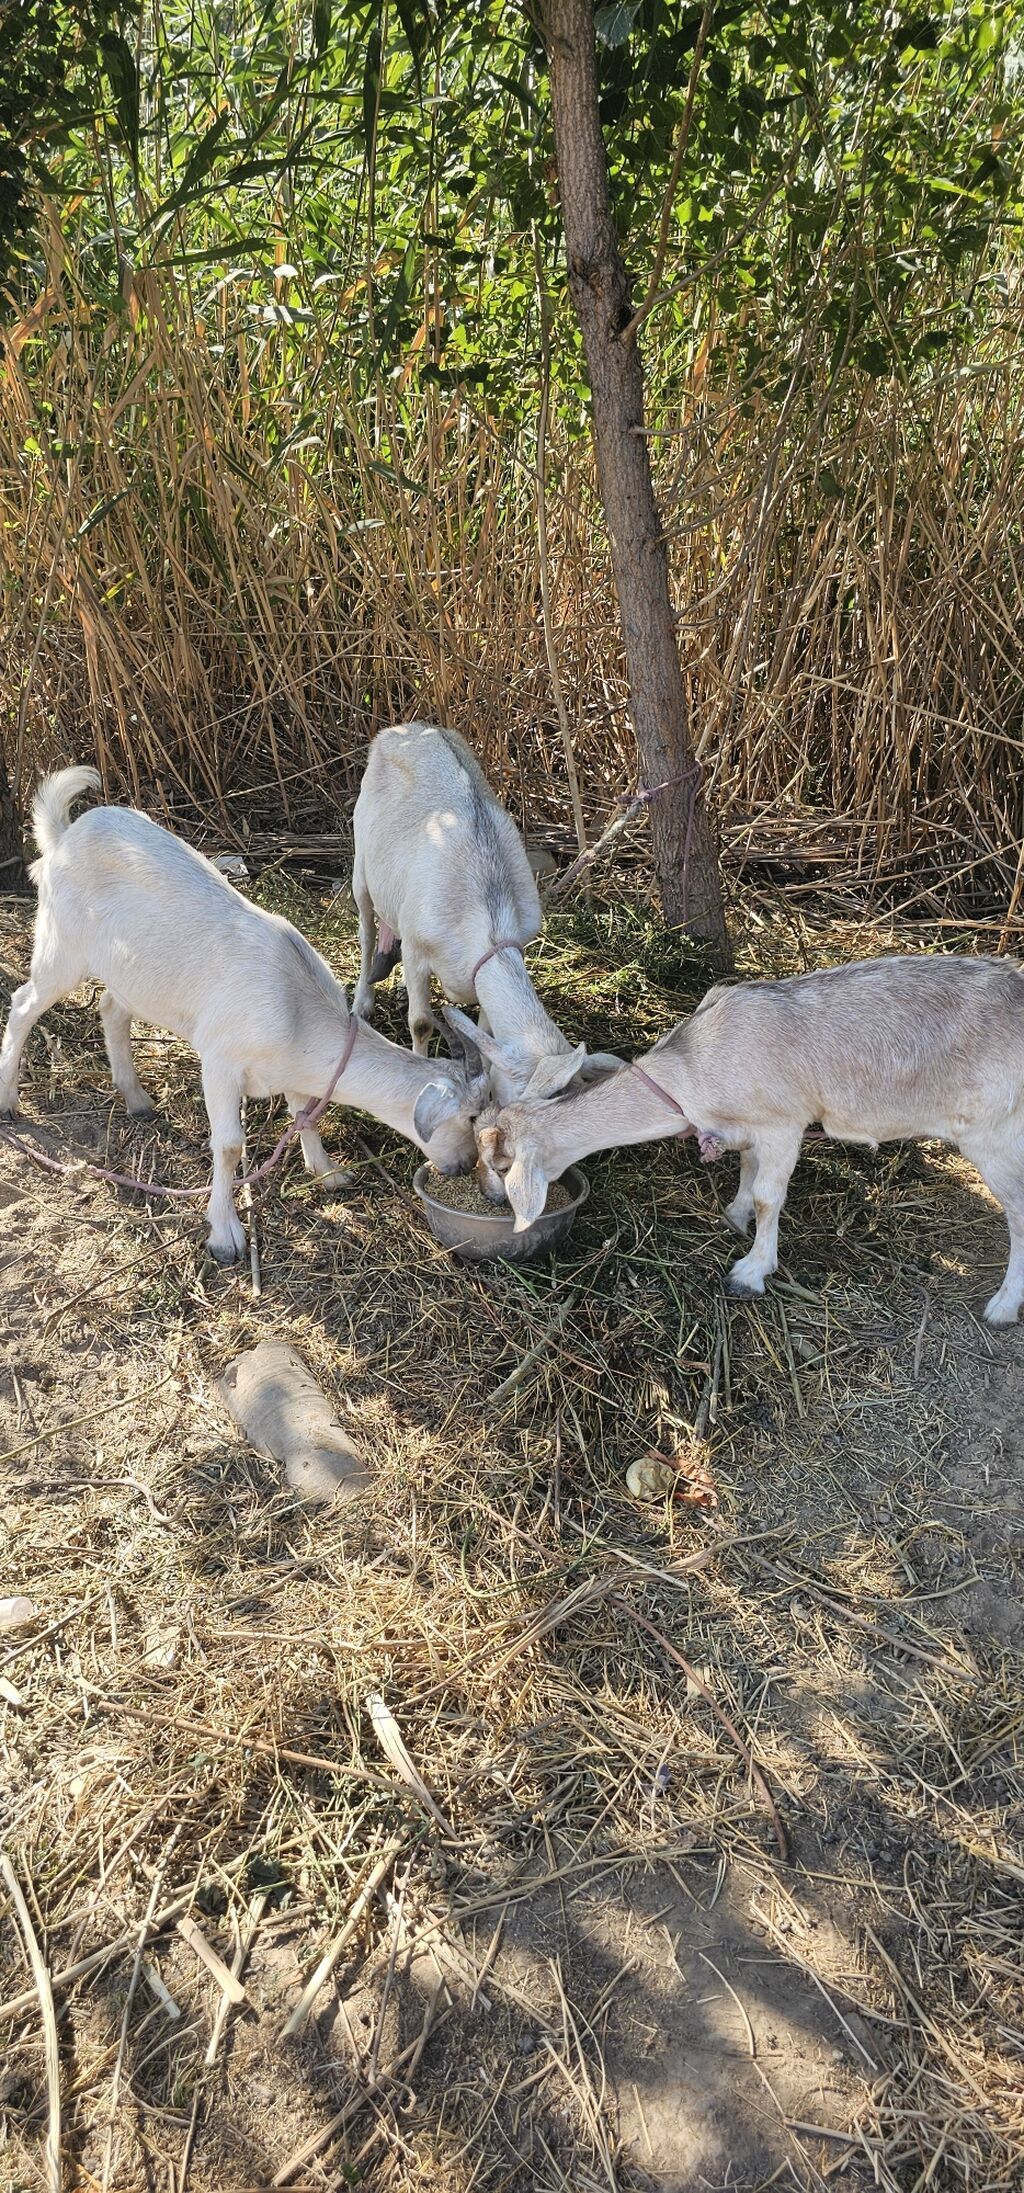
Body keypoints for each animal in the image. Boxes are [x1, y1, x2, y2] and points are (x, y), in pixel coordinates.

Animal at [0, 769, 488, 1262]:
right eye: (471, 1117)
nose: (465, 1165)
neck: (298, 1010)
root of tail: (64, 836)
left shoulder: (292, 1067)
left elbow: (305, 1112)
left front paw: (328, 1172)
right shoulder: (220, 1063)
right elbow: (230, 1146)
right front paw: (226, 1234)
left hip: (134, 974)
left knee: (111, 1007)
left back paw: (136, 1099)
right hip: (62, 947)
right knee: (23, 1004)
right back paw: (8, 1101)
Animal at [351, 721, 618, 1103]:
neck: (486, 918)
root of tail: (410, 726)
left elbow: (482, 1035)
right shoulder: (418, 949)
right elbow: (421, 1023)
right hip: (361, 863)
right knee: (367, 931)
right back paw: (362, 1003)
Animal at [474, 955, 1024, 1325]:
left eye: (502, 1166)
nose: (486, 1196)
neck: (692, 1068)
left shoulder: (784, 1123)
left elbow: (767, 1196)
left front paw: (752, 1271)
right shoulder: (748, 1127)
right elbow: (746, 1170)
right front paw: (734, 1216)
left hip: (994, 1132)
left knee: (1019, 1210)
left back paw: (1003, 1305)